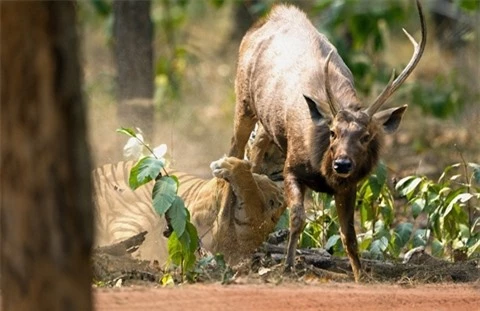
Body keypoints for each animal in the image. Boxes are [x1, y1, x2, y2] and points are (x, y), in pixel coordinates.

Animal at [229, 0, 428, 282]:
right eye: (333, 132)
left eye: (366, 136)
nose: (342, 164)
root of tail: (272, 14)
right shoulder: (292, 168)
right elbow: (297, 218)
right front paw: (288, 266)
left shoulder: (349, 186)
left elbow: (349, 236)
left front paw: (360, 276)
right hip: (243, 100)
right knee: (235, 150)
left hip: (266, 129)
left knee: (255, 160)